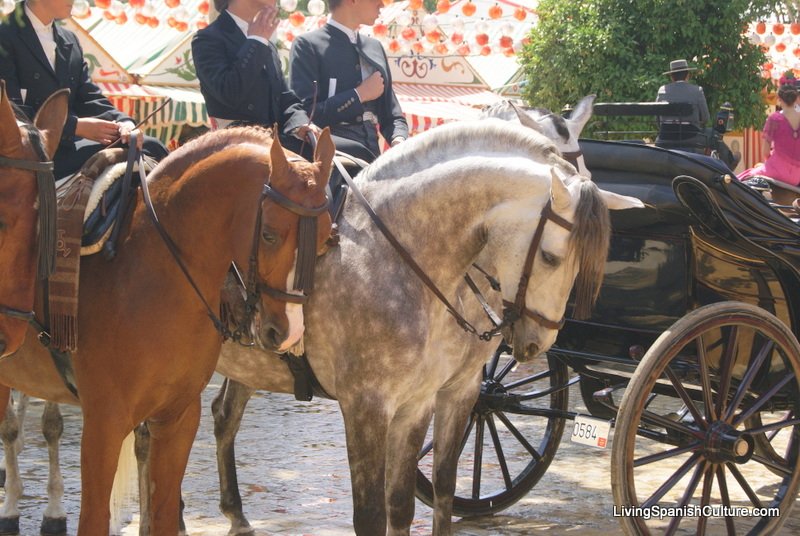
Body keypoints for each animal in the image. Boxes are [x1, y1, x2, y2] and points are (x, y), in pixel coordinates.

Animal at [0, 124, 332, 532]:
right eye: (269, 234)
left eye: (327, 237)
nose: (289, 332)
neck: (156, 268)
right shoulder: (104, 423)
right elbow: (93, 518)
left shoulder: (178, 418)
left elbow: (162, 514)